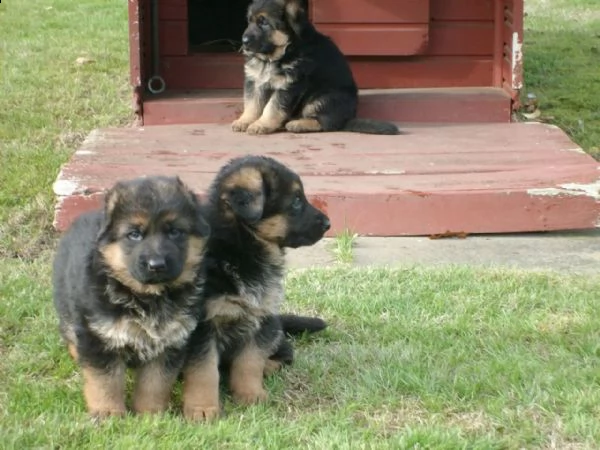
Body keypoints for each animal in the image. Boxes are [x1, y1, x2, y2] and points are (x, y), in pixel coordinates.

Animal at [52, 177, 211, 418]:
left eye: (174, 232)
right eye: (134, 234)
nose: (157, 265)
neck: (147, 297)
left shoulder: (169, 342)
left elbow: (155, 383)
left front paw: (150, 414)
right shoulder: (98, 337)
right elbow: (105, 382)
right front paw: (108, 413)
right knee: (70, 332)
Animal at [185, 156, 330, 420]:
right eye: (296, 200)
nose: (328, 223)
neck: (244, 245)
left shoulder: (261, 319)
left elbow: (249, 363)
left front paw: (250, 395)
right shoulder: (202, 327)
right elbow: (204, 371)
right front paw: (202, 408)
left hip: (275, 328)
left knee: (284, 354)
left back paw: (269, 366)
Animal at [231, 0, 398, 135]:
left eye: (264, 23)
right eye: (249, 22)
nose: (244, 41)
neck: (279, 55)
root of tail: (347, 118)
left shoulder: (289, 85)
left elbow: (272, 107)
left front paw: (261, 124)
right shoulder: (255, 81)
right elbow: (252, 104)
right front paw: (245, 121)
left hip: (323, 98)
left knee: (328, 124)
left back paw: (297, 124)